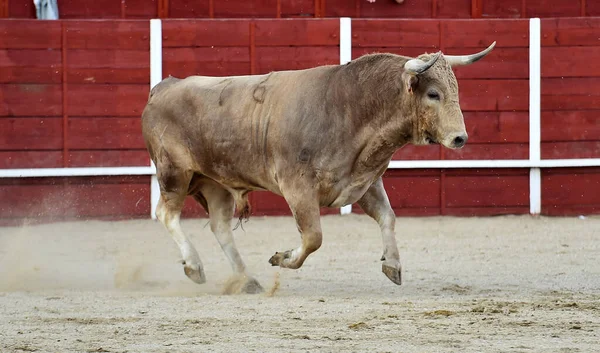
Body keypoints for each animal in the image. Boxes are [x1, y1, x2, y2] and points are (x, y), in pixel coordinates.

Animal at [142, 41, 496, 292]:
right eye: (433, 93)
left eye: (455, 90)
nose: (460, 138)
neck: (348, 107)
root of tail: (162, 88)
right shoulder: (296, 187)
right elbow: (314, 236)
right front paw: (283, 257)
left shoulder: (364, 181)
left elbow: (388, 217)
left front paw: (393, 265)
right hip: (175, 173)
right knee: (166, 214)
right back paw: (195, 267)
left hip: (215, 182)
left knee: (219, 226)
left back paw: (246, 280)